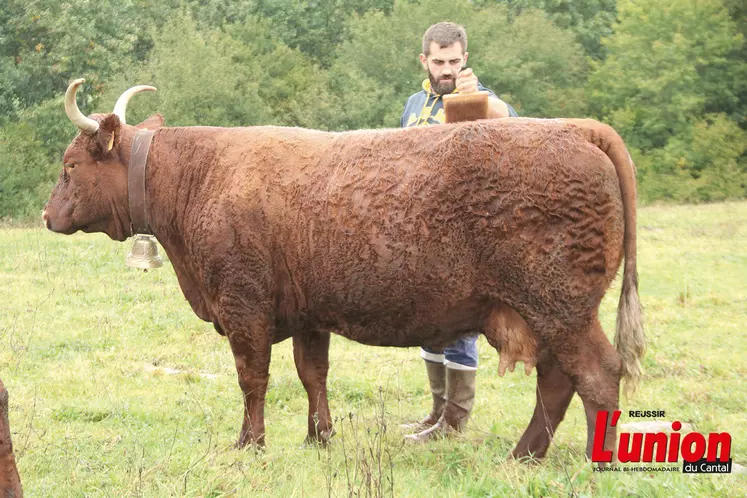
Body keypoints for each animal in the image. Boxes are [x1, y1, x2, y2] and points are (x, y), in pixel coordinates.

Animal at [43, 80, 644, 462]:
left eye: (70, 165)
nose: (48, 216)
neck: (203, 175)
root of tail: (575, 129)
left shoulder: (243, 306)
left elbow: (252, 377)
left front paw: (249, 444)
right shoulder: (308, 314)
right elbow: (313, 374)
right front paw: (319, 438)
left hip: (559, 307)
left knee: (595, 375)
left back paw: (595, 461)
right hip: (548, 314)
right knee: (558, 382)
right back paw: (524, 455)